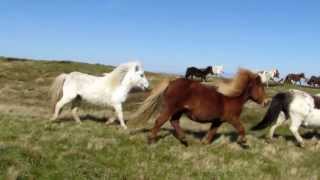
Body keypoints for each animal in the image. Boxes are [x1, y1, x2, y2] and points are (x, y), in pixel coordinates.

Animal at [131, 69, 268, 146]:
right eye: (260, 87)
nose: (266, 102)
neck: (232, 99)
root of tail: (171, 82)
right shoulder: (232, 118)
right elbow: (241, 128)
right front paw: (242, 141)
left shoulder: (217, 121)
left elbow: (212, 132)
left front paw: (204, 143)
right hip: (171, 108)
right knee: (160, 121)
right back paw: (151, 141)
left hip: (179, 110)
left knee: (174, 121)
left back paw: (184, 139)